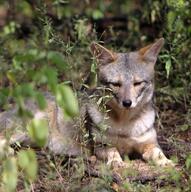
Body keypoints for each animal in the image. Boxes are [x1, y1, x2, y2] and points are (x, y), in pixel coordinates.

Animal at [0, 37, 173, 166]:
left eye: (137, 83)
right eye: (116, 84)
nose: (127, 103)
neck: (125, 126)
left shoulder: (150, 143)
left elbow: (158, 153)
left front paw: (166, 162)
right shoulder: (100, 146)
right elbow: (113, 151)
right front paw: (116, 162)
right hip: (24, 129)